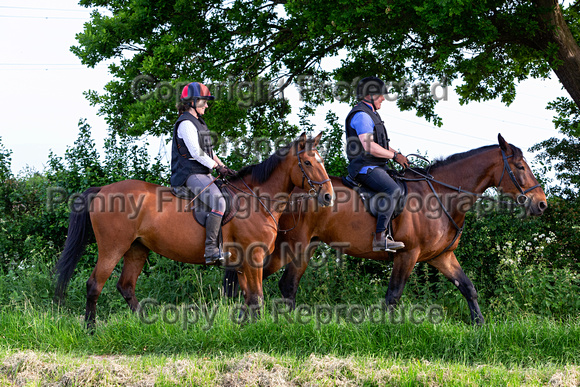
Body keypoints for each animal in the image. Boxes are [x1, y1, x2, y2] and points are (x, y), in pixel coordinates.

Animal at [54, 133, 336, 328]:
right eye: (308, 163)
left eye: (321, 161)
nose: (328, 196)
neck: (256, 199)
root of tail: (102, 190)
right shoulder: (253, 257)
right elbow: (257, 298)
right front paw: (257, 330)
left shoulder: (242, 261)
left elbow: (247, 297)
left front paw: (244, 326)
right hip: (113, 247)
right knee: (95, 285)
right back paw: (90, 329)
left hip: (137, 249)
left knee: (126, 287)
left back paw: (145, 323)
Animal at [223, 135, 548, 326]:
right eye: (520, 167)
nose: (541, 204)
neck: (441, 196)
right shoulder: (407, 254)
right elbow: (394, 294)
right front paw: (389, 330)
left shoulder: (441, 257)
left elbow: (468, 287)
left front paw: (479, 324)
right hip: (292, 245)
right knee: (269, 282)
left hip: (300, 247)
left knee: (269, 282)